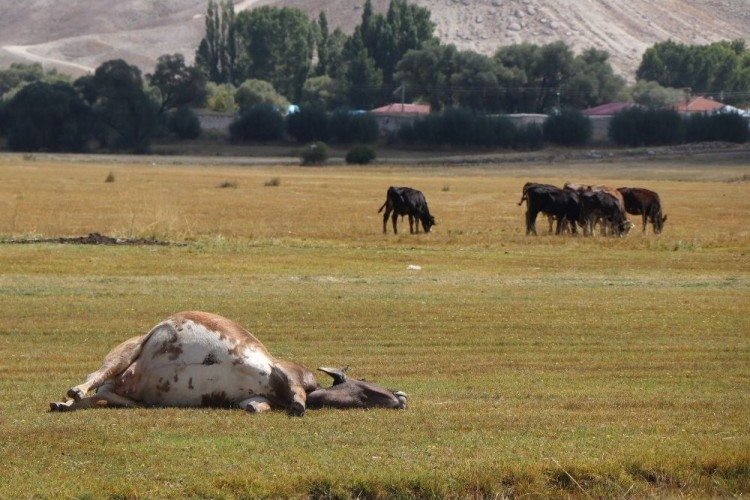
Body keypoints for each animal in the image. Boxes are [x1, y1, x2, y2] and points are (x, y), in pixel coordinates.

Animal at [50, 312, 408, 414]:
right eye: (366, 384)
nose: (402, 395)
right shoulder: (286, 371)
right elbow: (297, 393)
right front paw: (298, 406)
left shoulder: (256, 397)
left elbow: (256, 407)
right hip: (131, 349)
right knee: (95, 376)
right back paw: (73, 393)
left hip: (129, 395)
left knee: (104, 394)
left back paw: (63, 404)